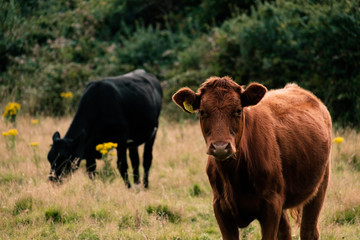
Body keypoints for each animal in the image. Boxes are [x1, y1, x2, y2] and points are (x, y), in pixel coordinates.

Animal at [172, 77, 332, 240]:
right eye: (203, 111)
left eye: (238, 110)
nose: (220, 147)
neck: (233, 178)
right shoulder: (220, 207)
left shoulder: (272, 205)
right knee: (285, 231)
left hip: (320, 184)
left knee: (308, 230)